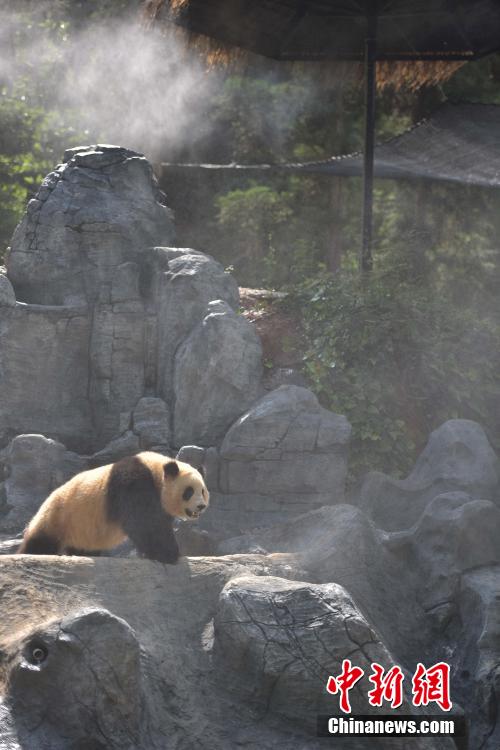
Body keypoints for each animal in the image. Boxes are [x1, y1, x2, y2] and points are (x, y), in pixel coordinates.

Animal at [17, 452, 209, 563]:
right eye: (189, 491)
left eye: (203, 491)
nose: (201, 506)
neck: (156, 469)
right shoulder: (133, 483)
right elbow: (145, 523)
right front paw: (168, 553)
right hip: (59, 518)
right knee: (41, 543)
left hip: (80, 530)